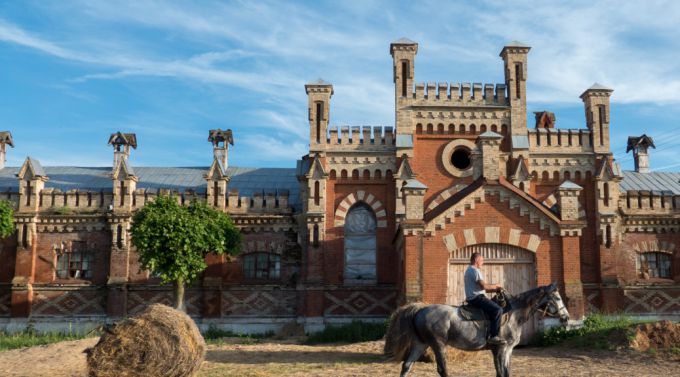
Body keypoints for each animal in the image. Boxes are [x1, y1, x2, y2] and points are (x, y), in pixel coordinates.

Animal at [386, 282, 572, 376]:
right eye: (556, 297)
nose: (566, 317)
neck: (513, 313)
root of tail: (420, 309)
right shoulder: (501, 348)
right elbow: (502, 372)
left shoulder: (506, 350)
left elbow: (504, 372)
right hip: (437, 344)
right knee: (442, 369)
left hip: (421, 344)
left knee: (407, 365)